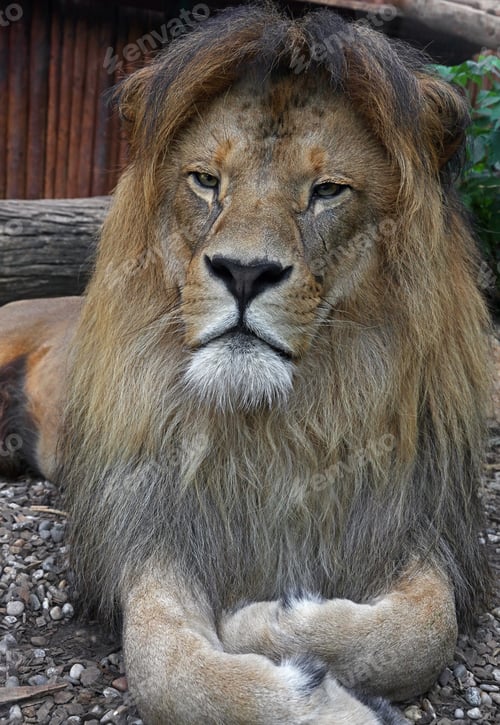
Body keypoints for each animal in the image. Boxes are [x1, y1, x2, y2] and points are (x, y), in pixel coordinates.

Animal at [0, 5, 491, 724]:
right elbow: (168, 672)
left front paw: (269, 620)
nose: (244, 272)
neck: (276, 429)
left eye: (327, 190)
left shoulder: (416, 525)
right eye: (206, 181)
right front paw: (317, 698)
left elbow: (424, 629)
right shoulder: (151, 533)